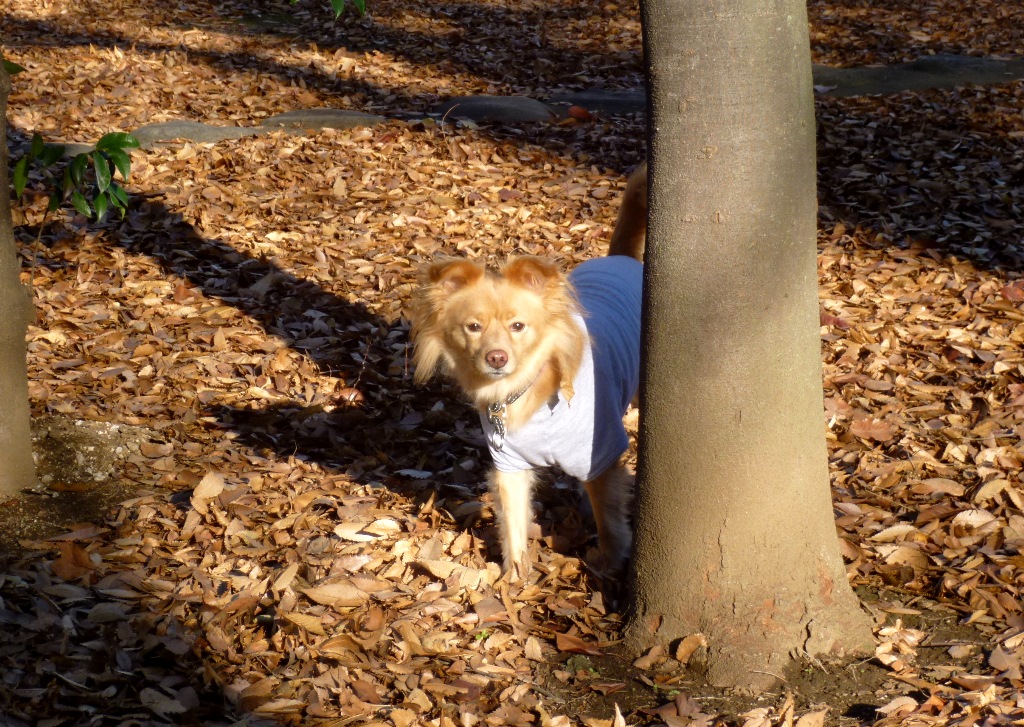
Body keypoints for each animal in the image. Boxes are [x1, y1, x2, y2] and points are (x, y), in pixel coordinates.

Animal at [407, 253, 638, 577]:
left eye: (518, 326)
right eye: (473, 327)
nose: (496, 357)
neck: (526, 389)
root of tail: (622, 258)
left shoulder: (599, 456)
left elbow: (608, 516)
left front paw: (611, 562)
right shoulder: (509, 463)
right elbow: (513, 522)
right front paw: (515, 576)